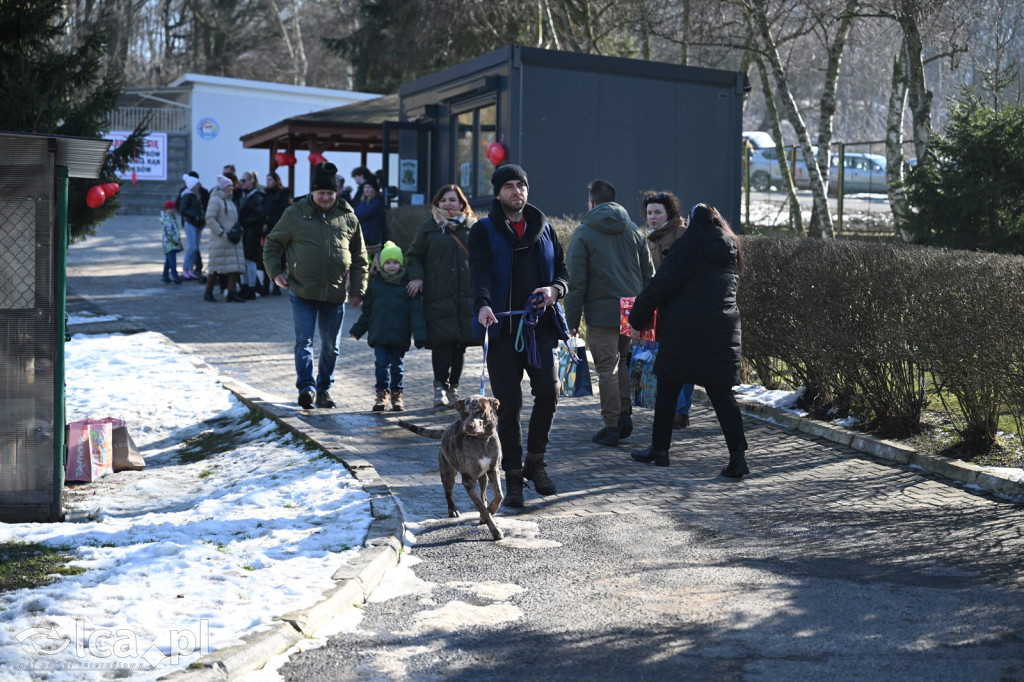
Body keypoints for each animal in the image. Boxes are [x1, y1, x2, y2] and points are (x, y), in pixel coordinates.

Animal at [440, 393, 503, 536]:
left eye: (481, 411)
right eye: (464, 412)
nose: (469, 425)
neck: (481, 440)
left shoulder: (493, 469)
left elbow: (499, 495)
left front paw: (492, 509)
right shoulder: (468, 480)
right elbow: (481, 507)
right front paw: (495, 530)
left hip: (483, 476)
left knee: (483, 493)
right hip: (447, 472)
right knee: (448, 491)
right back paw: (452, 509)